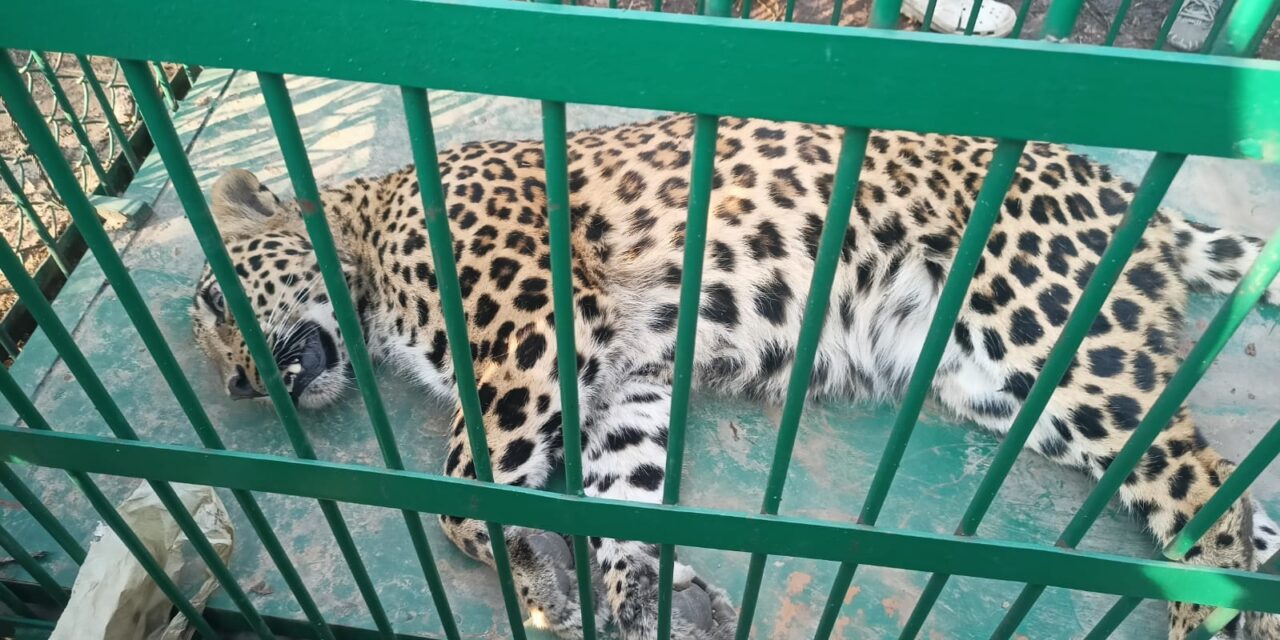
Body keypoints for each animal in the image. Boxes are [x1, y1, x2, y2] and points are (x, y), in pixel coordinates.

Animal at [192, 114, 1280, 640]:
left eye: (210, 302)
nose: (237, 386)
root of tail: (1120, 188)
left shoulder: (530, 324)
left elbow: (460, 490)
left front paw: (538, 570)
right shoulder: (622, 376)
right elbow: (619, 492)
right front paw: (651, 600)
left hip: (1042, 332)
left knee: (1200, 484)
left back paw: (1205, 620)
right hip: (997, 382)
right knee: (1234, 501)